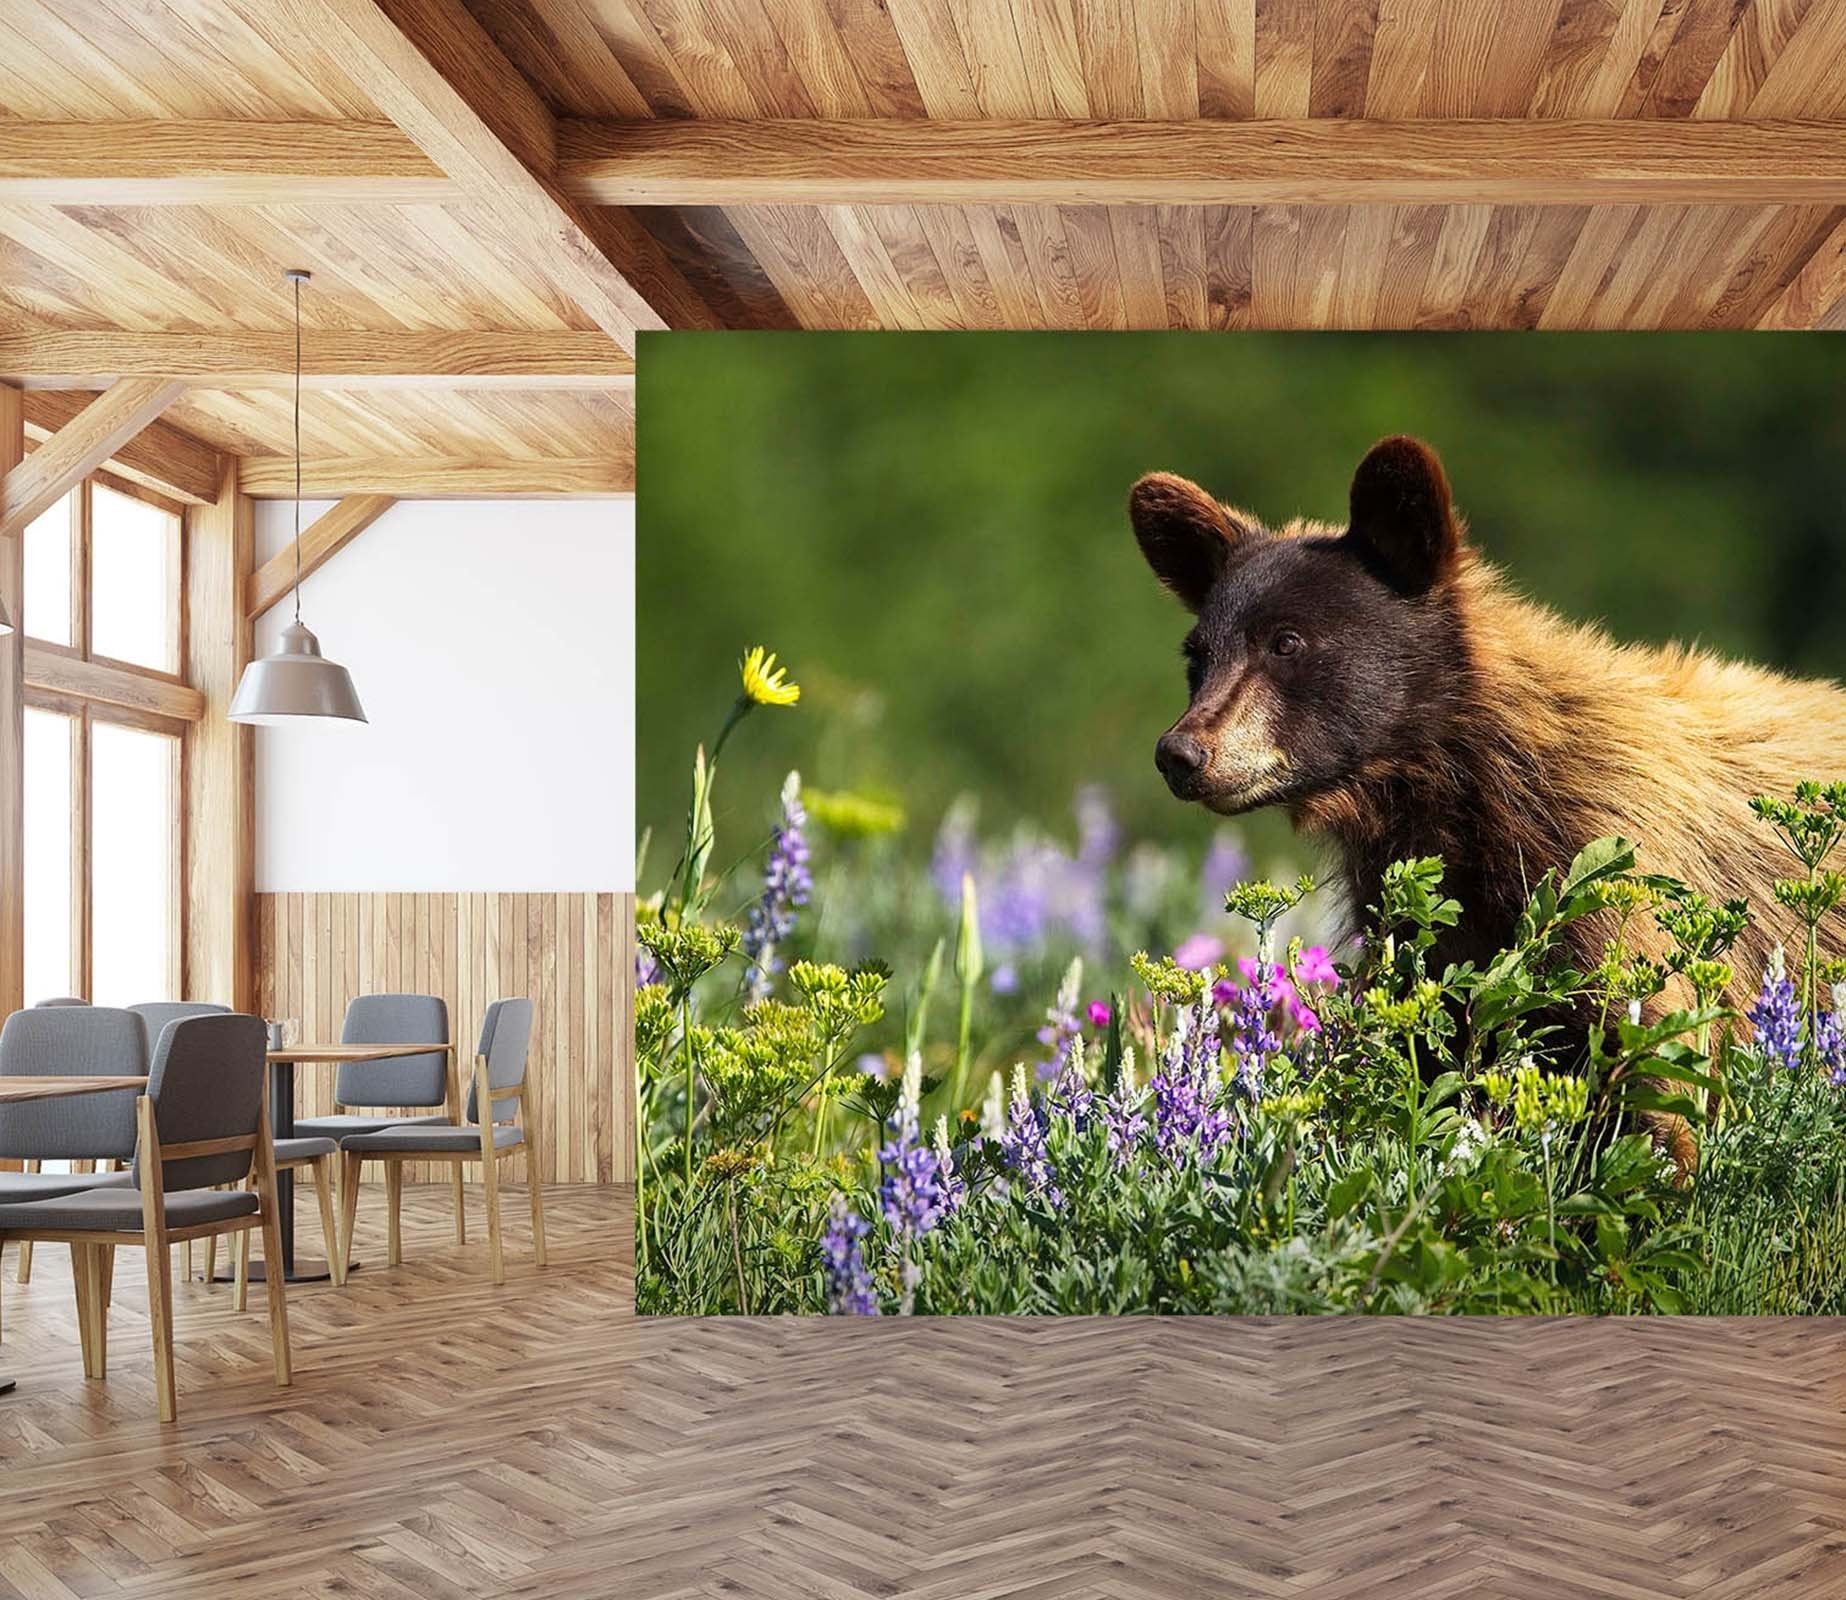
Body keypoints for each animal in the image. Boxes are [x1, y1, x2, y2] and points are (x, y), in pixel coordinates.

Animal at [1128, 434, 1846, 1130]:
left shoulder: (1620, 889)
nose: (1180, 753)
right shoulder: (1424, 928)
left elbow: (1658, 1076)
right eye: (1198, 655)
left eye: (1287, 641)